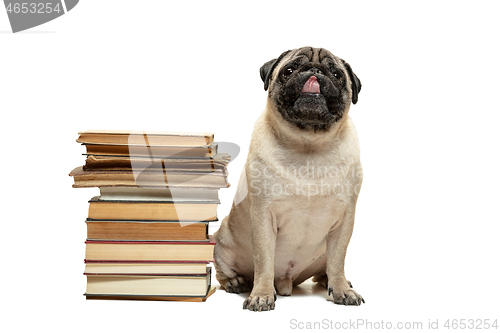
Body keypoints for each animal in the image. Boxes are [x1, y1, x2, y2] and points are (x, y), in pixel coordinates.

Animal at [212, 47, 364, 312]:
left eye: (336, 74)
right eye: (289, 71)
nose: (314, 70)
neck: (309, 146)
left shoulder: (344, 221)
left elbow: (338, 261)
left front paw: (341, 290)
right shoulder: (263, 218)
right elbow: (264, 261)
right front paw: (261, 295)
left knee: (328, 268)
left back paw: (333, 281)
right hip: (222, 244)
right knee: (225, 272)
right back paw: (236, 282)